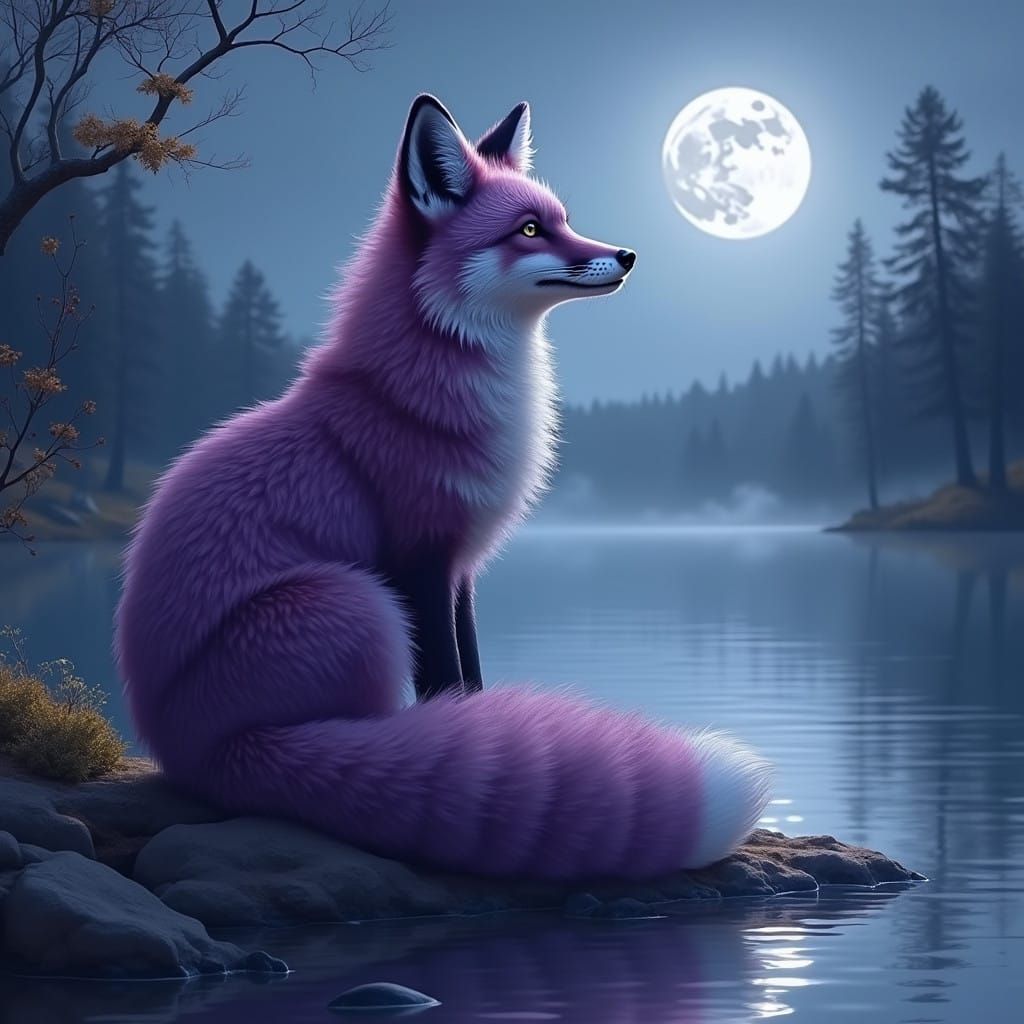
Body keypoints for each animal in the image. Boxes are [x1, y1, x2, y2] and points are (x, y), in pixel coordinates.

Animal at [115, 95, 772, 881]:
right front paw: (471, 742)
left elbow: (472, 676)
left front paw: (482, 729)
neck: (423, 397)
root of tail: (189, 751)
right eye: (529, 230)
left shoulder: (461, 566)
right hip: (358, 604)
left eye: (562, 218)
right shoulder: (418, 558)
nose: (628, 255)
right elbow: (447, 682)